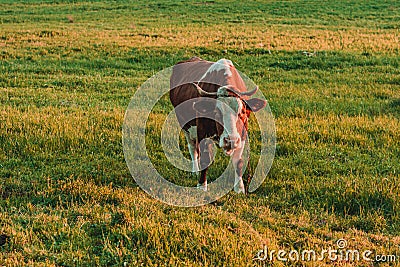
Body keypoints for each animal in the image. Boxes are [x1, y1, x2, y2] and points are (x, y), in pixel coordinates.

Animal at [169, 57, 266, 195]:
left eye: (242, 112)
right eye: (216, 112)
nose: (230, 140)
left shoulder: (241, 136)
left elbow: (239, 162)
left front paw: (239, 188)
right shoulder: (202, 132)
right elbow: (205, 159)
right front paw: (202, 186)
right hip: (186, 126)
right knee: (193, 148)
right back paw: (195, 171)